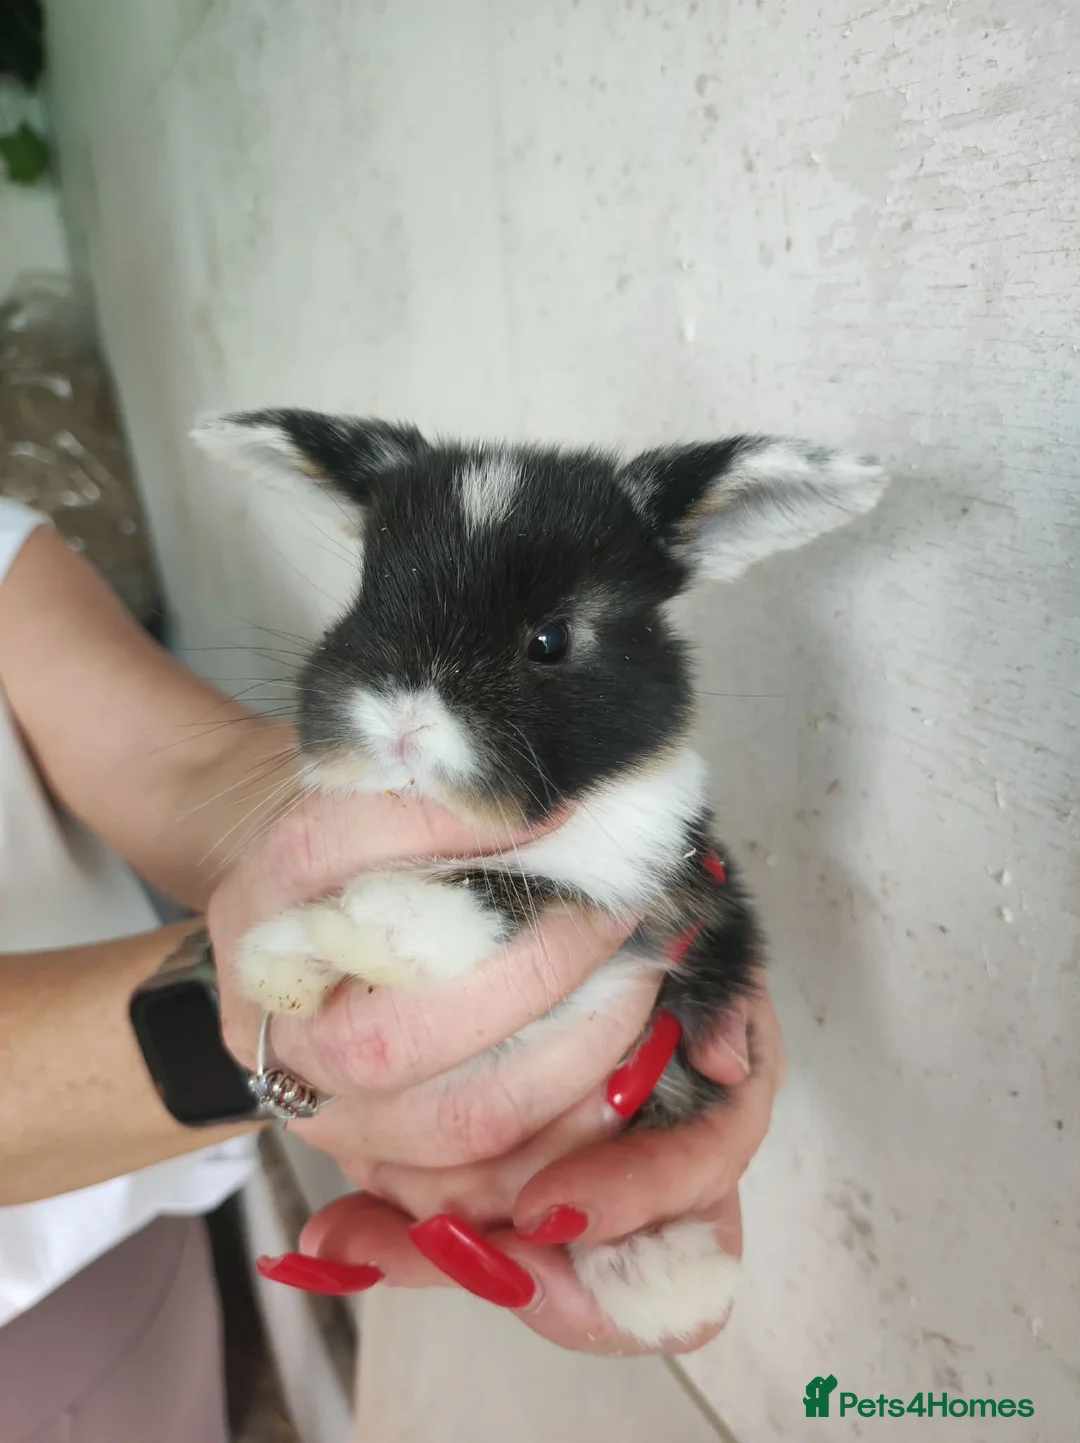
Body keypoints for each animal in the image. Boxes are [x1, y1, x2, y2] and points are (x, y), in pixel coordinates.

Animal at [193, 409, 888, 1345]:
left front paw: (369, 926)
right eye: (365, 597)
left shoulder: (644, 884)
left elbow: (510, 894)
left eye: (550, 640)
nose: (402, 725)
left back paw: (663, 1277)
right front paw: (279, 959)